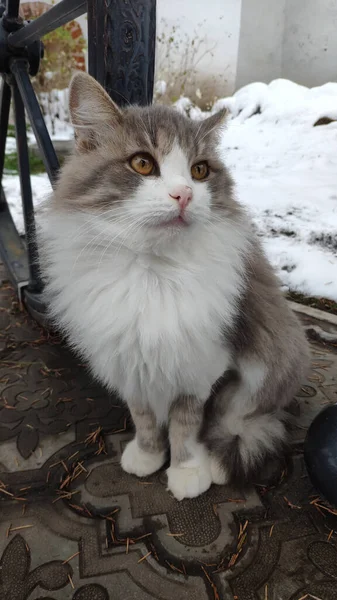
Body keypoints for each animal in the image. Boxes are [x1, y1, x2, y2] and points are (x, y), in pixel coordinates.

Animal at [36, 70, 308, 502]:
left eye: (200, 171)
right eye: (143, 163)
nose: (185, 195)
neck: (152, 272)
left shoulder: (204, 367)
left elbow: (189, 425)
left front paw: (188, 471)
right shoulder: (130, 363)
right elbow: (144, 418)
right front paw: (147, 457)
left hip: (274, 357)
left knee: (244, 420)